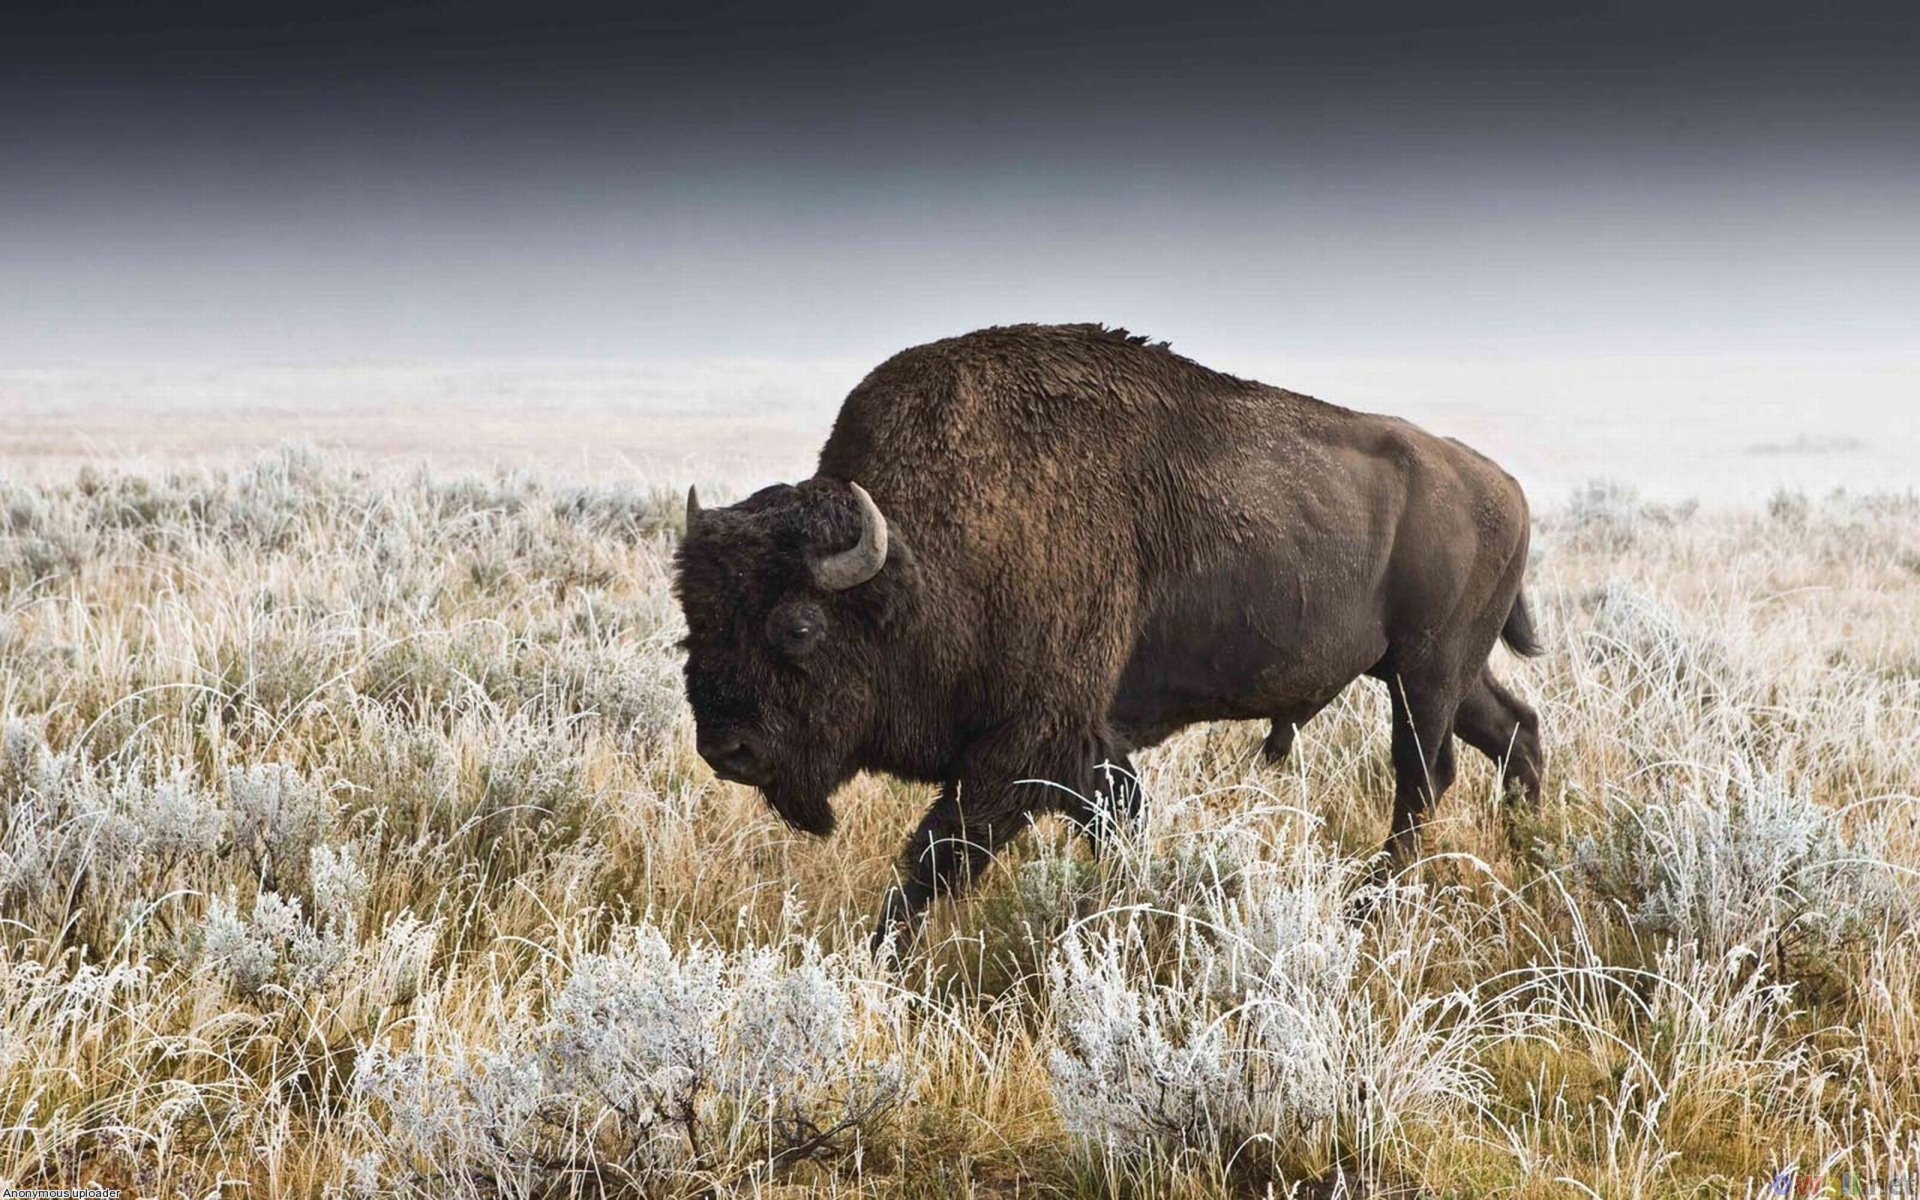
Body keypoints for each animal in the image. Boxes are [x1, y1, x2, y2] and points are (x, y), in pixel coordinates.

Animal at [674, 323, 1543, 951]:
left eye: (798, 625)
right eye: (692, 621)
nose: (727, 749)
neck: (925, 559)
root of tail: (1503, 485)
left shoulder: (1022, 754)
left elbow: (935, 859)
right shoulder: (1081, 754)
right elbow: (1103, 828)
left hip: (1425, 672)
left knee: (1424, 776)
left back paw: (1370, 905)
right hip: (1435, 671)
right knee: (1515, 731)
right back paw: (1529, 849)